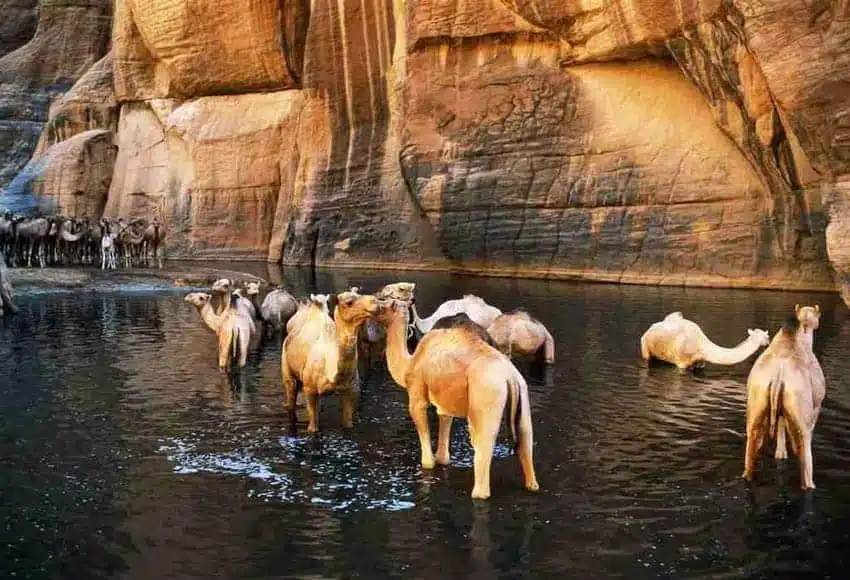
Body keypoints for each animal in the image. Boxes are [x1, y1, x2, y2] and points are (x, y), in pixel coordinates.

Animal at [278, 288, 378, 430]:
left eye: (359, 294)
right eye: (349, 302)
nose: (374, 302)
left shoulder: (350, 389)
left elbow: (348, 423)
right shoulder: (310, 390)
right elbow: (313, 427)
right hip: (287, 367)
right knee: (290, 392)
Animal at [372, 300, 536, 498]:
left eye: (385, 304)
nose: (372, 308)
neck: (409, 363)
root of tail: (510, 377)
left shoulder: (416, 392)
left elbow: (427, 457)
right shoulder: (444, 401)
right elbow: (443, 443)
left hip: (486, 396)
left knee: (483, 449)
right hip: (523, 396)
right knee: (526, 444)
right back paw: (531, 484)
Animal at [636, 312, 768, 372]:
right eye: (766, 337)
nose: (767, 343)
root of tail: (651, 328)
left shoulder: (701, 363)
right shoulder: (681, 363)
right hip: (644, 346)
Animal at [740, 304, 824, 490]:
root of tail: (778, 376)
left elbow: (780, 423)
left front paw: (780, 454)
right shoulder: (816, 407)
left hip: (755, 404)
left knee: (750, 451)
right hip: (802, 417)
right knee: (805, 456)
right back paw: (811, 484)